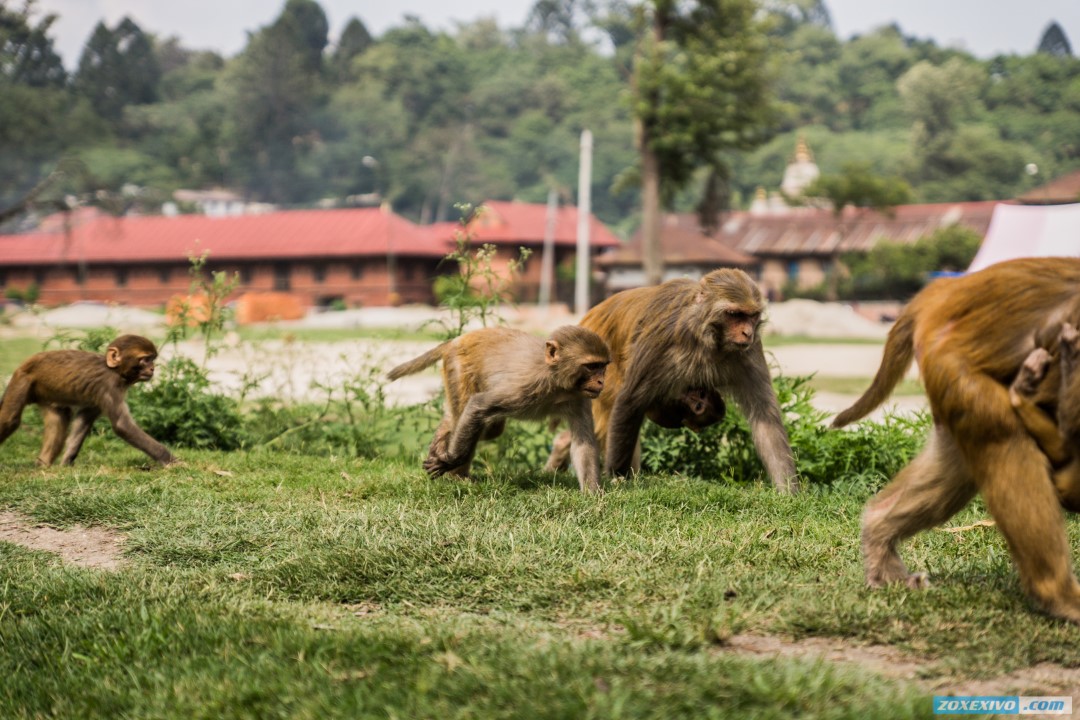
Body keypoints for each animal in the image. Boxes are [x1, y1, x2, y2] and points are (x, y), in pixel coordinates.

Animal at [0, 334, 177, 468]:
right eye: (145, 359)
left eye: (152, 359)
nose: (152, 368)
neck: (115, 371)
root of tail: (25, 363)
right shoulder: (109, 386)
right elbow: (123, 425)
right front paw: (171, 461)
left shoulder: (98, 396)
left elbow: (84, 420)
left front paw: (66, 462)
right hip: (22, 380)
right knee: (10, 419)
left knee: (59, 416)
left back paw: (42, 465)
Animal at [386, 325, 609, 490]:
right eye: (591, 367)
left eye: (602, 366)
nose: (601, 382)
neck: (556, 381)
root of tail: (457, 340)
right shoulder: (525, 386)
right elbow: (477, 406)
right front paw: (452, 460)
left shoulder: (580, 397)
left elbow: (583, 443)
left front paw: (592, 495)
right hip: (458, 366)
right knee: (466, 415)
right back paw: (457, 474)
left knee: (481, 426)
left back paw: (443, 443)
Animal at [548, 267, 794, 492]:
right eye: (735, 315)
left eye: (751, 316)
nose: (747, 333)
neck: (707, 336)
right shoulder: (663, 340)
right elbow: (630, 402)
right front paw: (618, 477)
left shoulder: (748, 352)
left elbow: (765, 417)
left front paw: (788, 491)